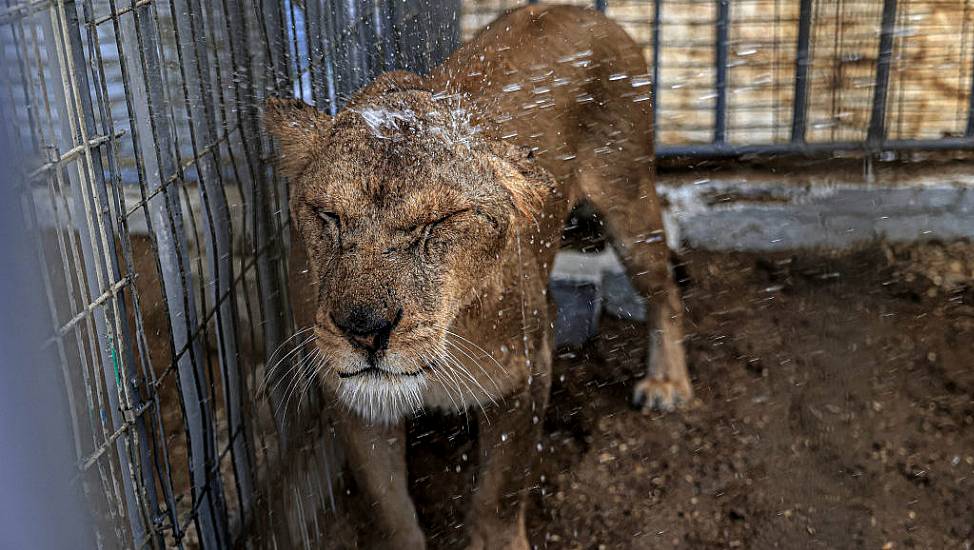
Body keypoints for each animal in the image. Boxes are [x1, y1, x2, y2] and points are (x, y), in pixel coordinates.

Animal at [266, 5, 692, 550]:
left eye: (441, 221)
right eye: (329, 216)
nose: (364, 329)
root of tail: (584, 10)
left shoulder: (526, 374)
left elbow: (498, 496)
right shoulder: (353, 400)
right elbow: (390, 508)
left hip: (630, 200)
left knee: (666, 292)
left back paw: (667, 382)